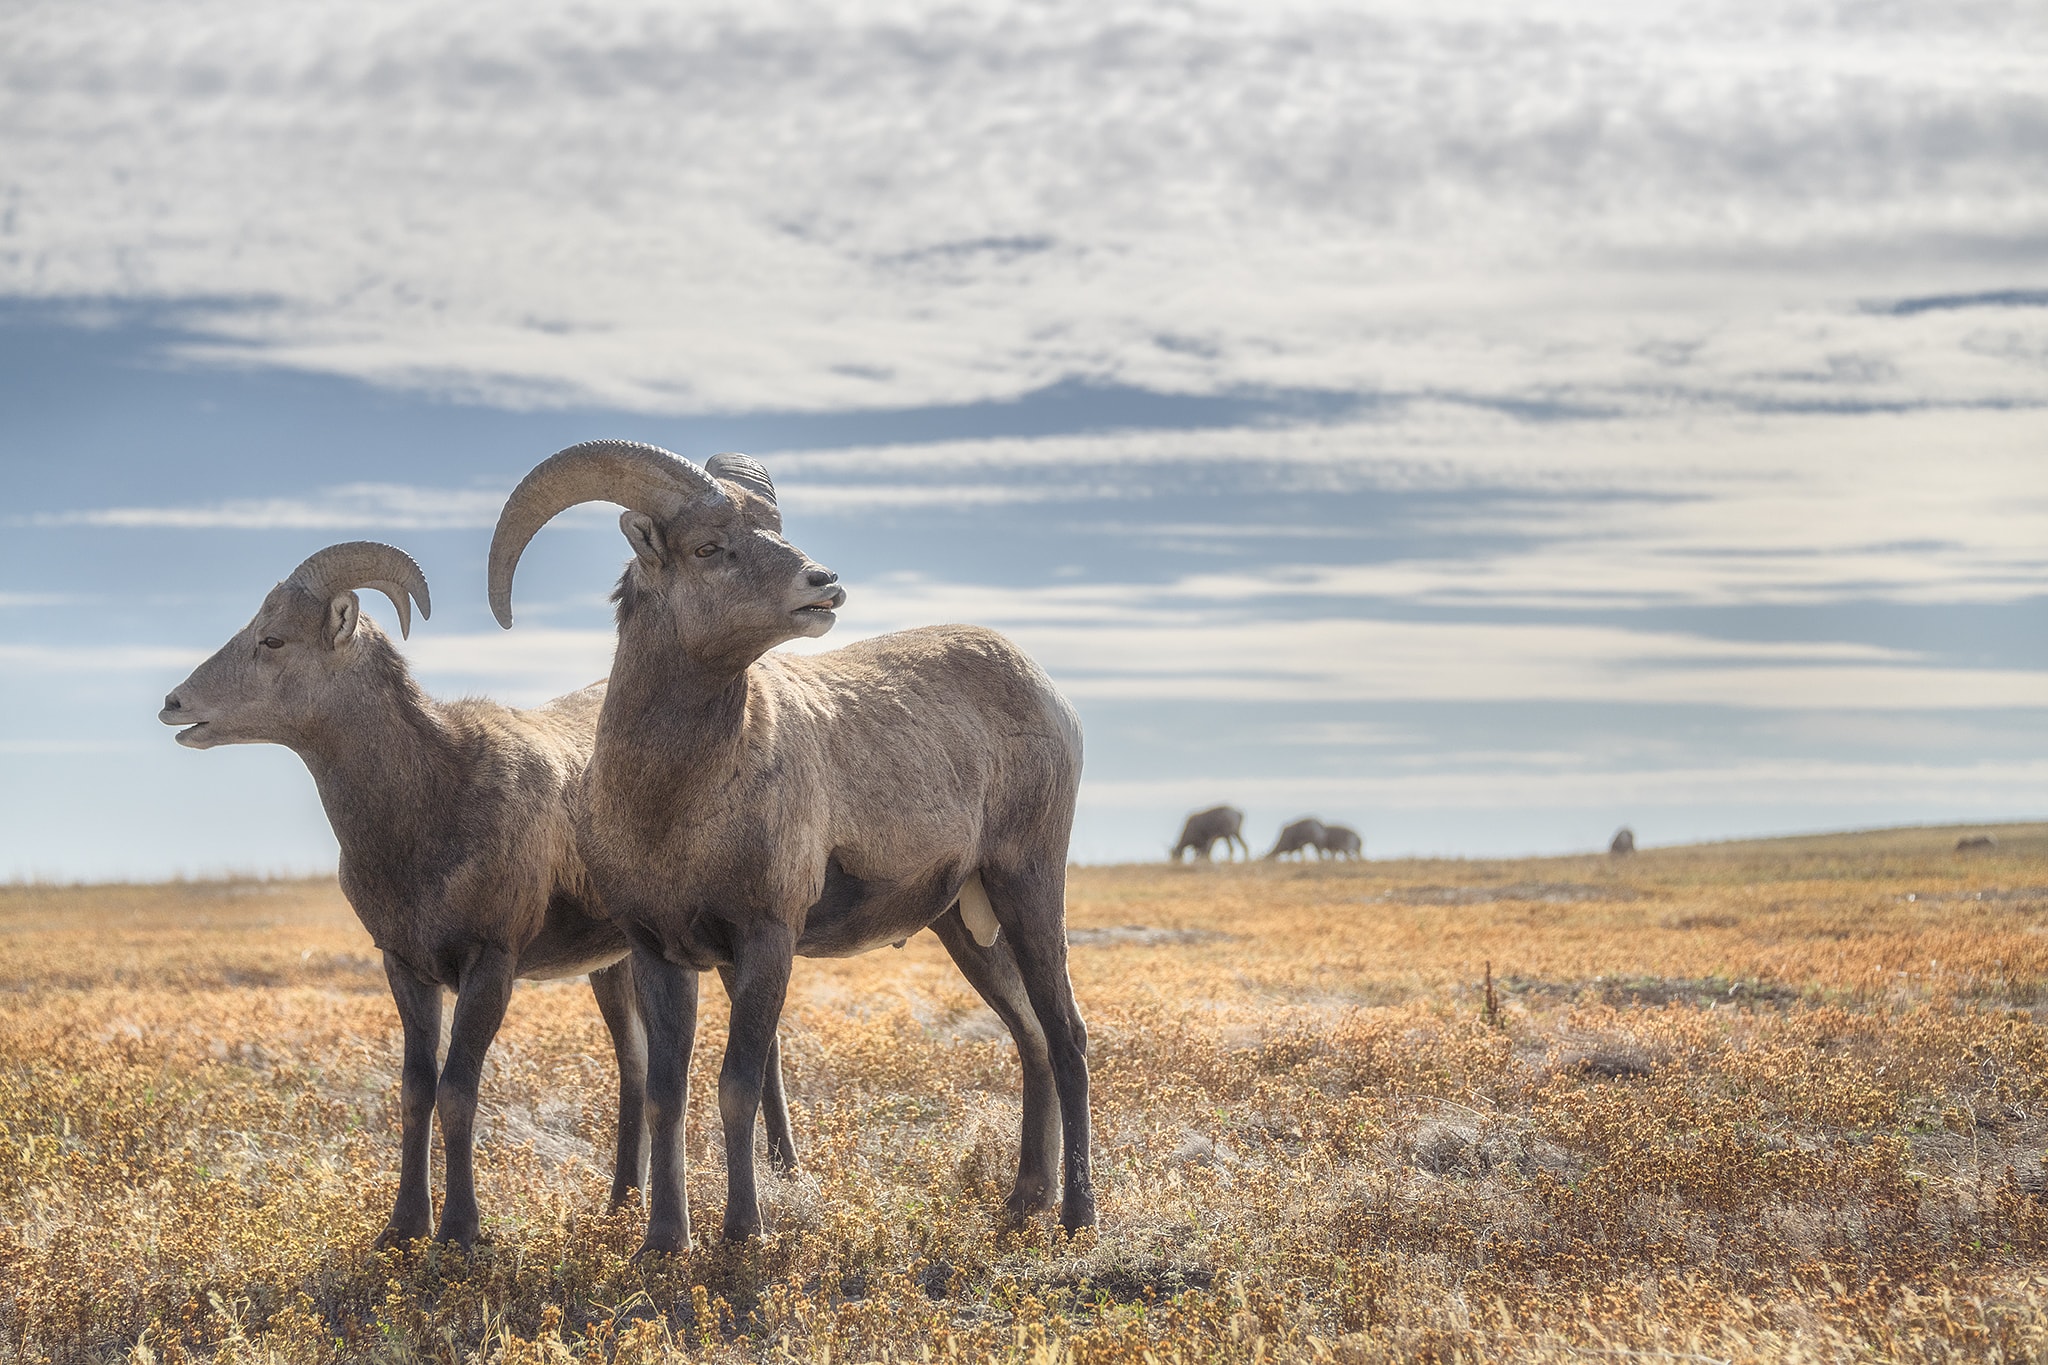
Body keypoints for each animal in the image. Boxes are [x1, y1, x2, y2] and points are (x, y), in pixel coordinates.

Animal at [157, 540, 798, 1252]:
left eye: (272, 639)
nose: (175, 704)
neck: (432, 807)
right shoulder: (406, 968)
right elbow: (415, 1092)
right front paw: (402, 1230)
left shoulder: (490, 965)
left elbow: (457, 1090)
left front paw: (461, 1232)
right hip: (617, 965)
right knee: (636, 1068)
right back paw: (621, 1204)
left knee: (763, 1048)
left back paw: (783, 1176)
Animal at [489, 444, 1097, 1252]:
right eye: (709, 547)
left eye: (774, 531)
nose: (823, 583)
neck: (673, 807)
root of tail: (1049, 692)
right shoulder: (658, 952)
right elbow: (666, 1095)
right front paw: (664, 1241)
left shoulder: (767, 938)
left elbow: (738, 1087)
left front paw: (743, 1232)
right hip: (965, 926)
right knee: (1029, 1036)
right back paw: (1023, 1202)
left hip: (1028, 885)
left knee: (1066, 1035)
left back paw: (1077, 1217)